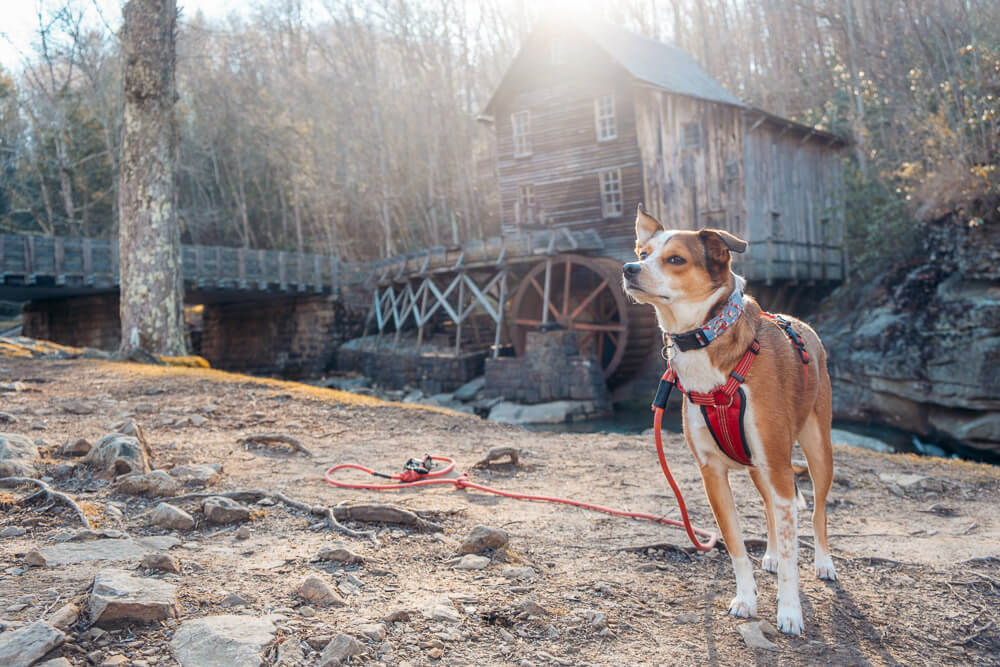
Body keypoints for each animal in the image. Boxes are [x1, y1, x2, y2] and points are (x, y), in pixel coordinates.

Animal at [624, 205, 836, 636]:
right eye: (643, 252)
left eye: (675, 259)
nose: (628, 268)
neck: (706, 339)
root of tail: (800, 320)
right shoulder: (713, 474)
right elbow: (736, 546)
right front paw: (747, 599)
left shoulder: (778, 465)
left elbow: (792, 554)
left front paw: (790, 611)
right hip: (759, 468)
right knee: (772, 510)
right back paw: (769, 553)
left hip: (816, 449)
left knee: (817, 510)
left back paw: (823, 562)